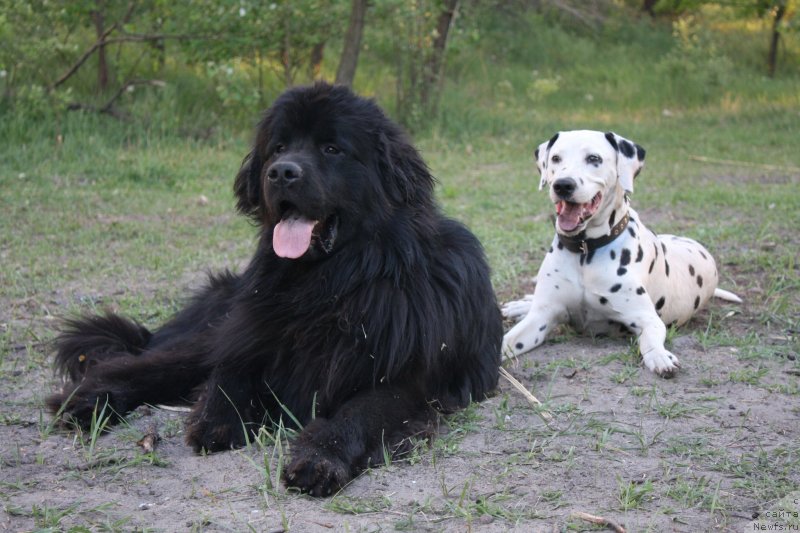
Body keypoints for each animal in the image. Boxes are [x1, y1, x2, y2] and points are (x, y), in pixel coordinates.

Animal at [47, 83, 500, 494]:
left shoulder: (404, 382)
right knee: (143, 365)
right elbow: (230, 374)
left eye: (332, 149)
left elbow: (357, 415)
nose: (282, 171)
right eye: (278, 147)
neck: (332, 283)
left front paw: (319, 458)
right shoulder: (252, 336)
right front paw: (217, 418)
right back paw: (87, 400)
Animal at [504, 130, 740, 376]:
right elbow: (505, 342)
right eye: (556, 158)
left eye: (594, 158)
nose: (563, 185)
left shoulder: (648, 319)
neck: (585, 251)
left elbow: (650, 340)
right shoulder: (541, 318)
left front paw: (659, 356)